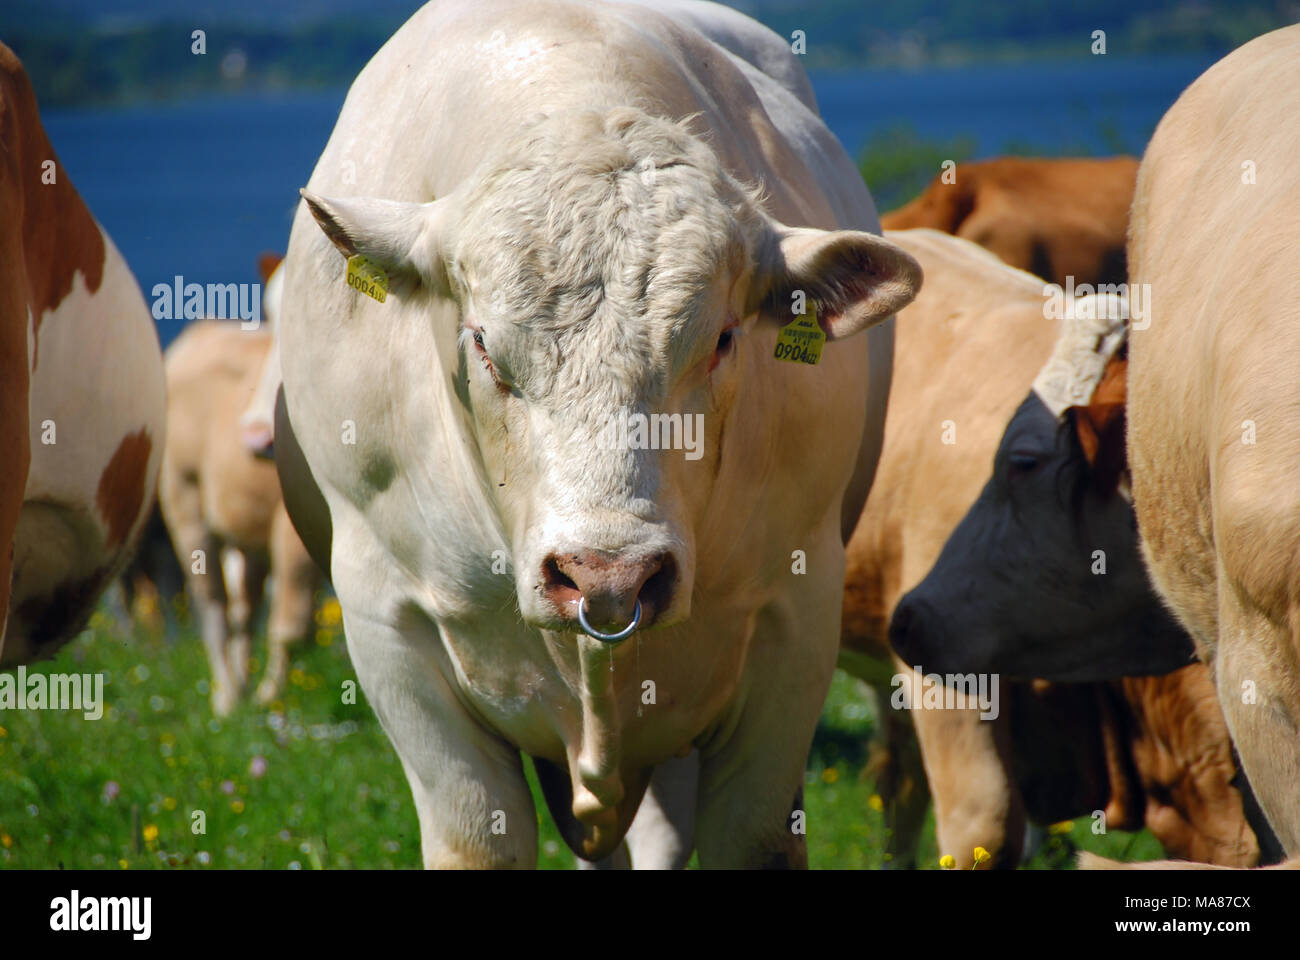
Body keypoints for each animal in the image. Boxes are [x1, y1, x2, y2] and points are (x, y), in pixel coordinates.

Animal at [159, 317, 319, 712]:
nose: (260, 438)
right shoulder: (290, 531)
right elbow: (292, 628)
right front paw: (272, 698)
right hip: (185, 505)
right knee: (214, 606)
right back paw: (228, 699)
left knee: (243, 610)